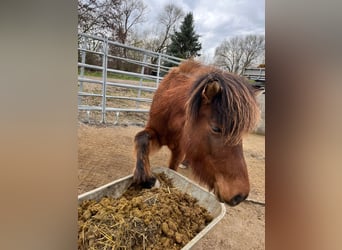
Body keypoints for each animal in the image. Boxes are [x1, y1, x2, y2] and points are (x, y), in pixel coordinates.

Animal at [133, 59, 260, 206]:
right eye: (216, 128)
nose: (240, 196)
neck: (171, 113)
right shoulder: (155, 132)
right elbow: (141, 139)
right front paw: (148, 180)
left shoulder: (179, 150)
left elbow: (172, 169)